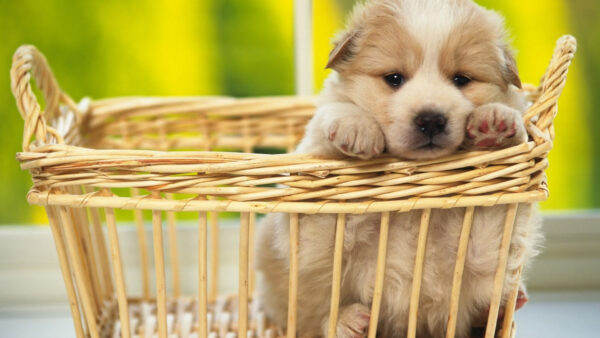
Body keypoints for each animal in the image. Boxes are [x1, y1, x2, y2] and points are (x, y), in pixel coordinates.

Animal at [255, 1, 540, 336]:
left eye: (461, 80)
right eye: (394, 79)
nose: (431, 119)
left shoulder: (480, 249)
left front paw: (495, 122)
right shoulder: (314, 241)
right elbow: (331, 120)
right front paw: (355, 127)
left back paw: (505, 306)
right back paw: (352, 322)